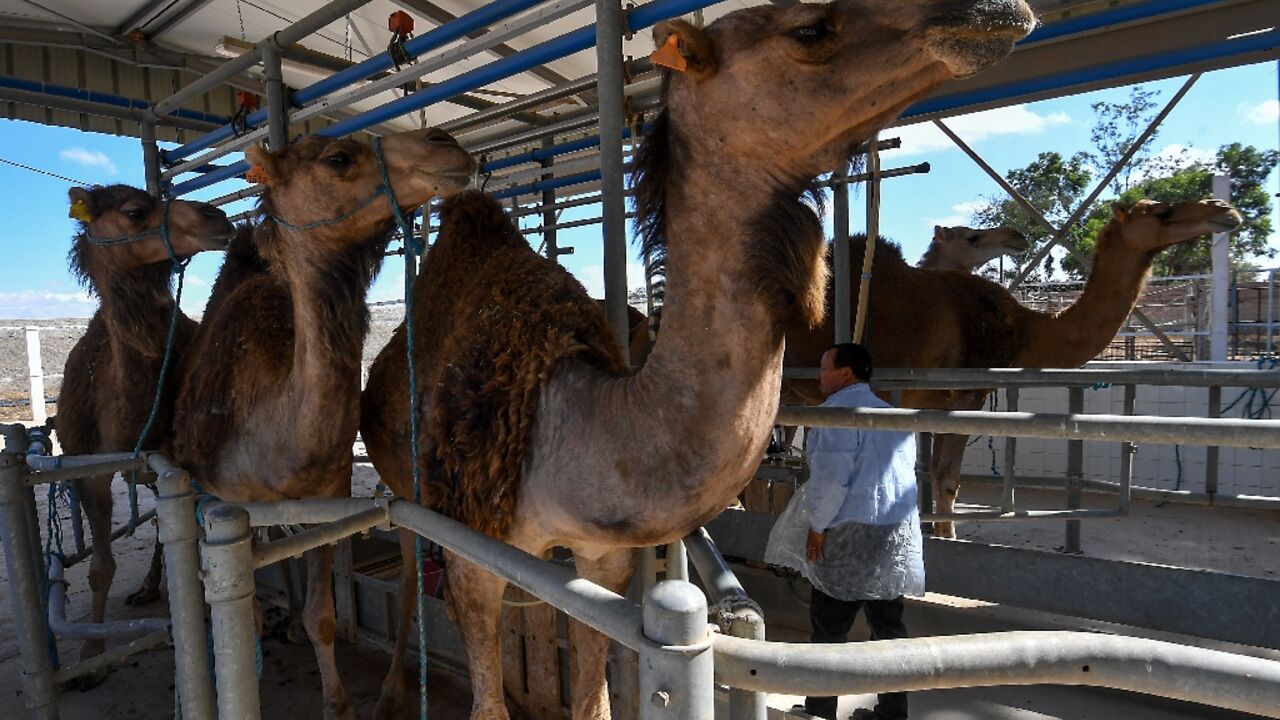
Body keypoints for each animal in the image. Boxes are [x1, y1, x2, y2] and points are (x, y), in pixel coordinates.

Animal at [55, 185, 233, 679]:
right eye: (135, 211)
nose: (218, 216)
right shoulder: (88, 470)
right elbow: (99, 567)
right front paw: (90, 658)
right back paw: (147, 587)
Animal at [170, 128, 474, 720]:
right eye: (339, 157)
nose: (446, 142)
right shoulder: (217, 498)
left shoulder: (328, 493)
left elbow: (323, 615)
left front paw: (337, 702)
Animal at [361, 2, 1034, 718]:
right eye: (809, 29)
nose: (994, 13)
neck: (557, 417)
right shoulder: (472, 548)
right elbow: (485, 691)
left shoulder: (602, 557)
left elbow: (594, 695)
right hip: (407, 493)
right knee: (411, 571)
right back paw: (390, 689)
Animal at [784, 198, 1243, 537]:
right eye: (1162, 211)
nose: (1223, 208)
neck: (1024, 328)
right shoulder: (967, 393)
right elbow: (946, 477)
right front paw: (948, 536)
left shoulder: (930, 401)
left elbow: (926, 474)